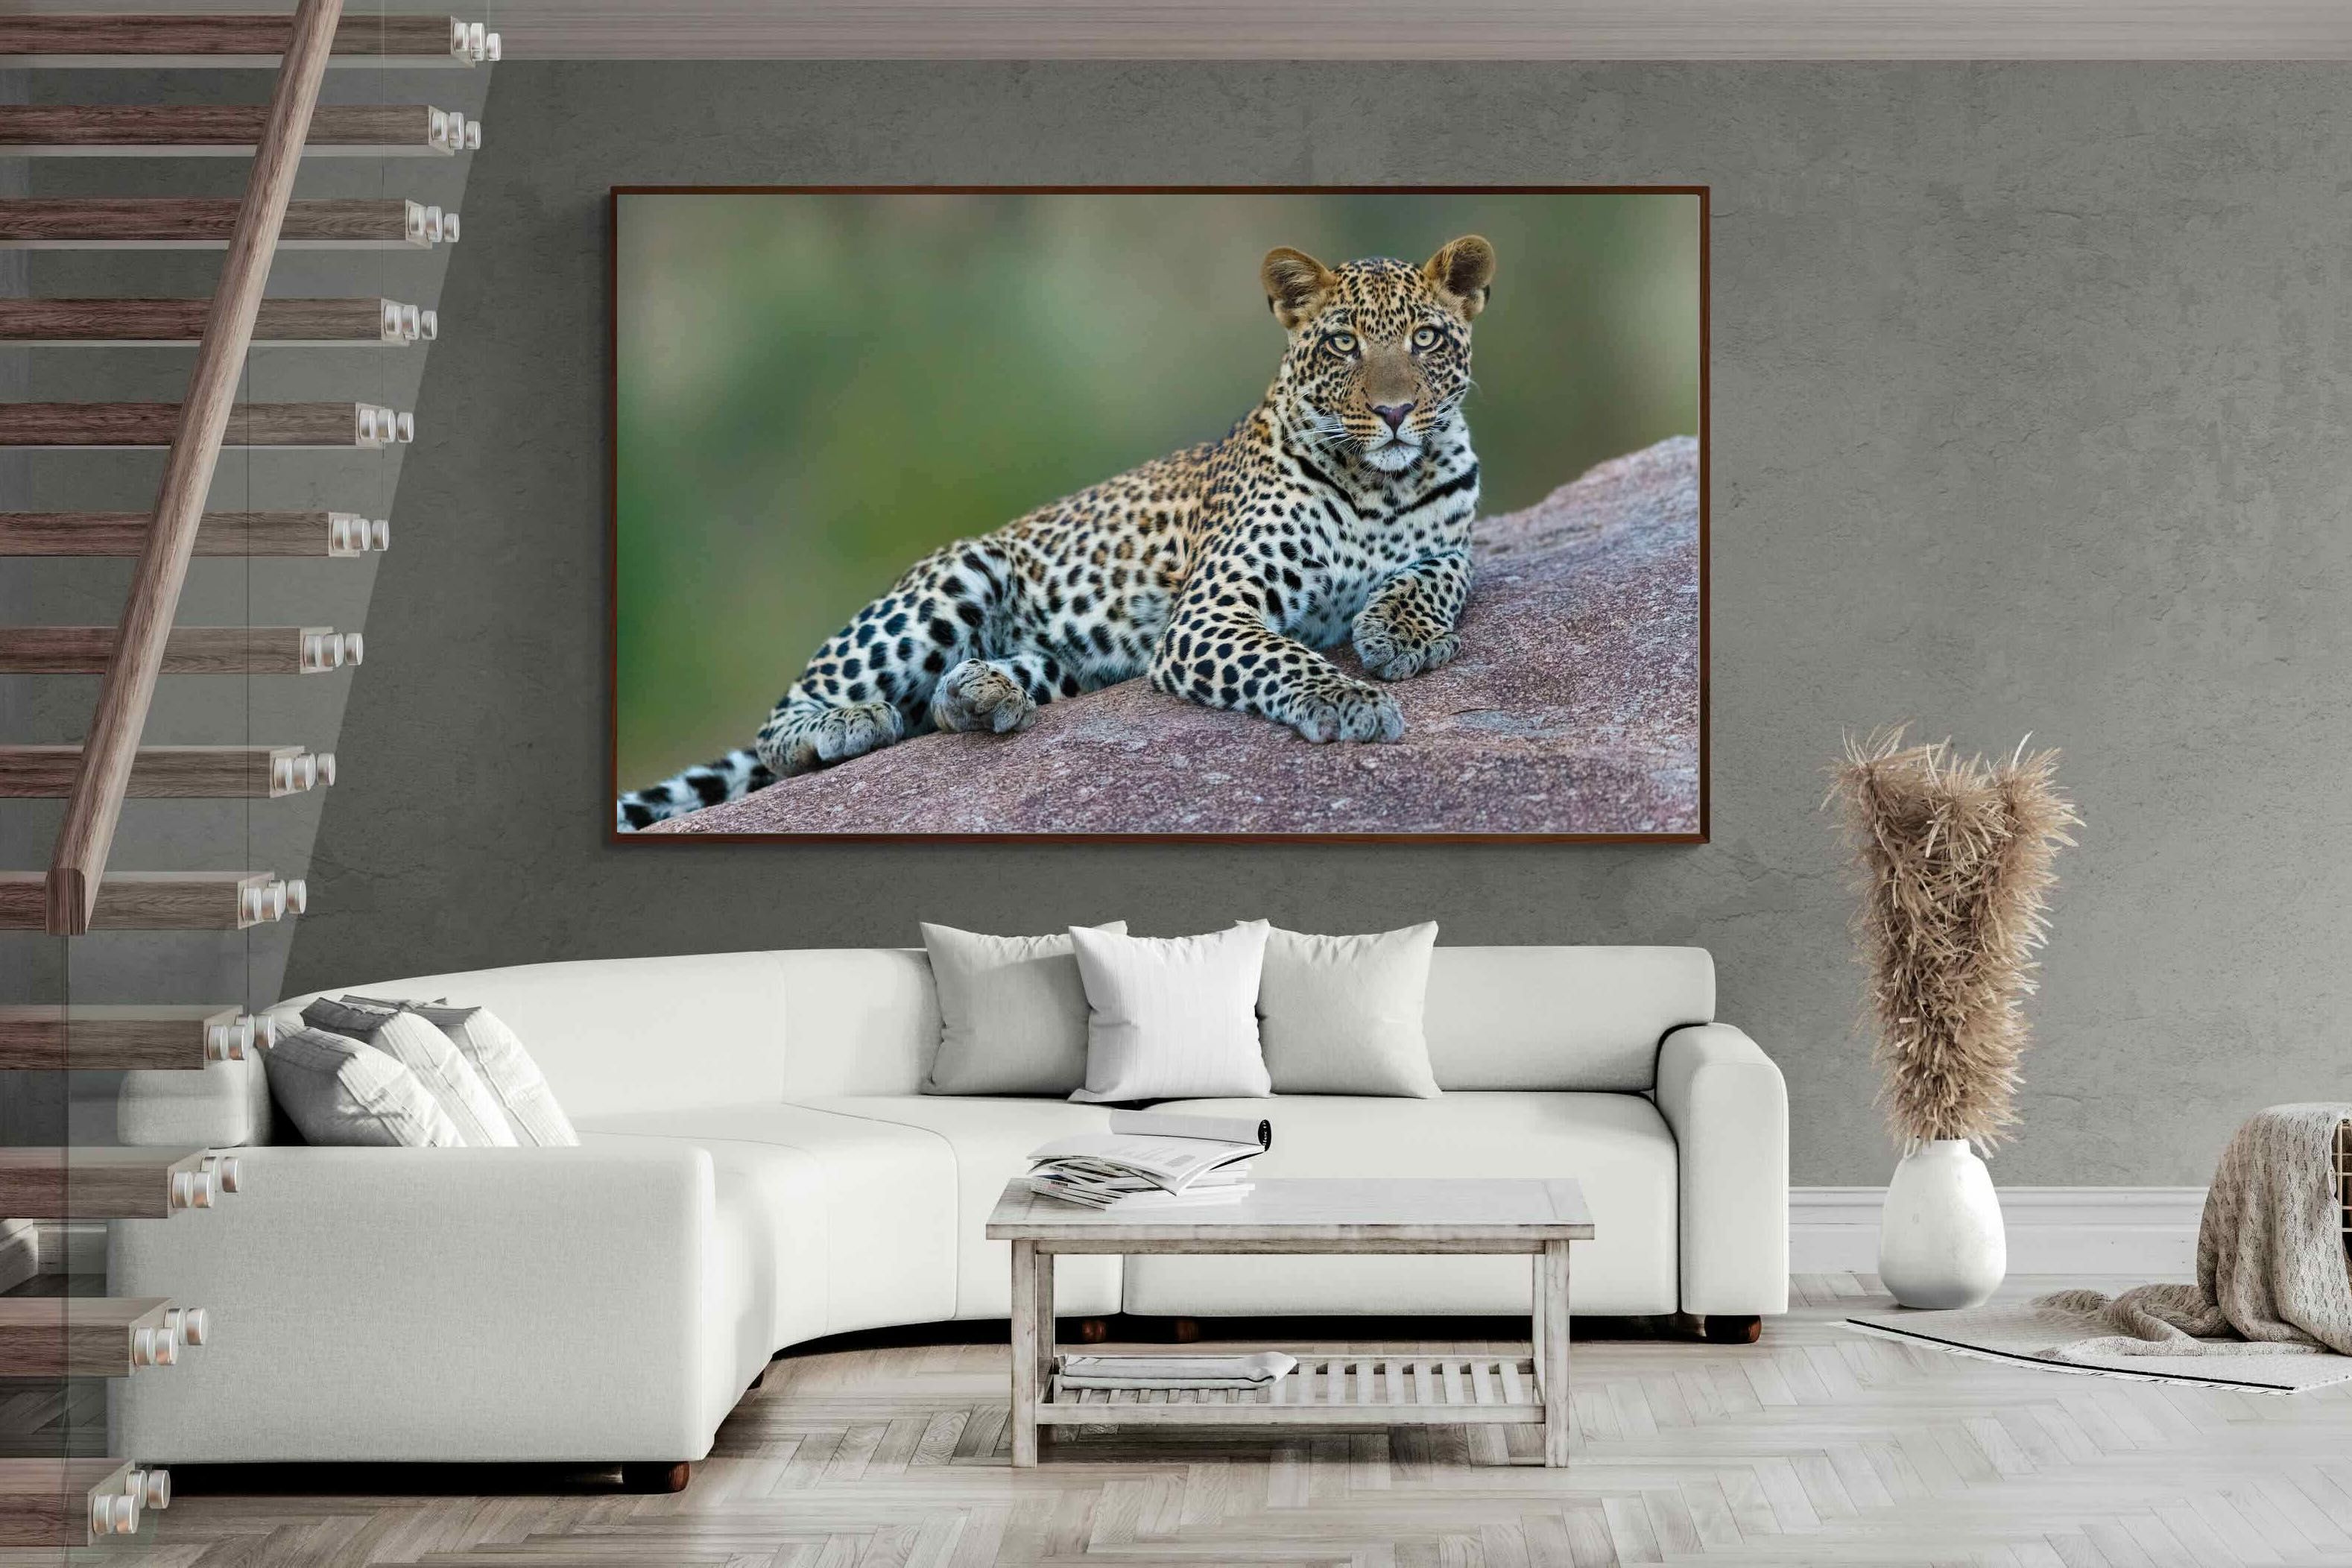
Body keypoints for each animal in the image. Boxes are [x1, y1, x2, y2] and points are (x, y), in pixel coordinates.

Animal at [617, 234, 1495, 831]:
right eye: (1344, 343)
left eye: (1425, 339)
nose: (1394, 411)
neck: (1383, 481)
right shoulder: (1210, 613)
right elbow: (1285, 656)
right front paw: (1351, 697)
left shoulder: (1453, 541)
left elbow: (1438, 575)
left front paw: (1398, 633)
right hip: (954, 579)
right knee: (785, 720)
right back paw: (846, 722)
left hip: (1066, 664)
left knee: (953, 699)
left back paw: (980, 695)